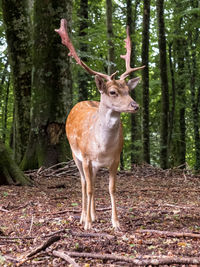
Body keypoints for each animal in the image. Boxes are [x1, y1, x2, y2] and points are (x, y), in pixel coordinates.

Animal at [55, 18, 145, 231]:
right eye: (112, 92)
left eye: (128, 90)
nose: (135, 106)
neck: (103, 147)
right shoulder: (87, 157)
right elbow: (88, 188)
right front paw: (87, 224)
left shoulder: (116, 159)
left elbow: (111, 189)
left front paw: (116, 223)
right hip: (75, 155)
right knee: (83, 183)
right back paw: (84, 217)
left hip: (93, 164)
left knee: (93, 182)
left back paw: (94, 215)